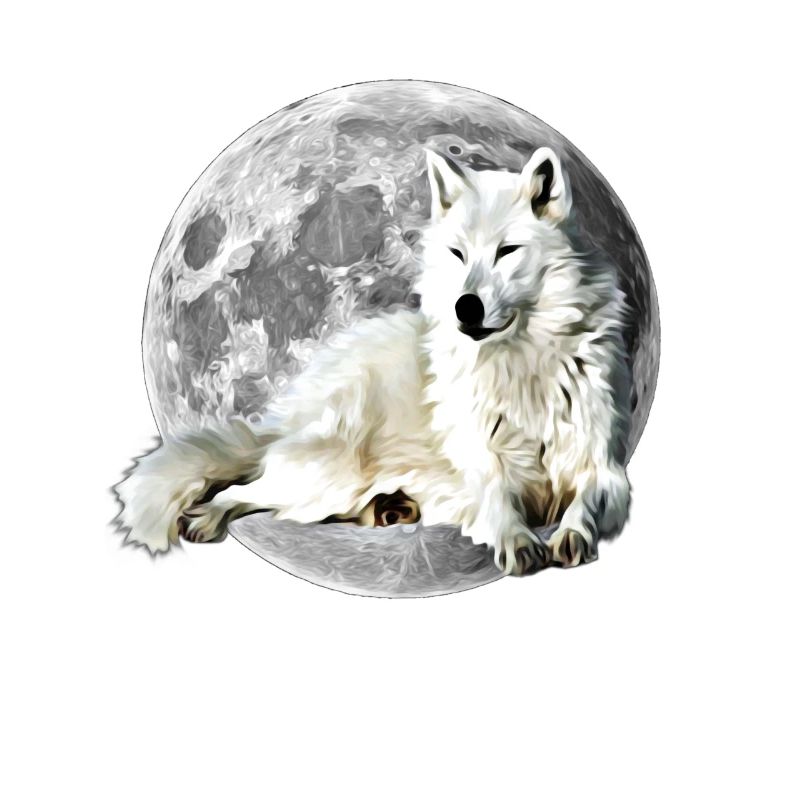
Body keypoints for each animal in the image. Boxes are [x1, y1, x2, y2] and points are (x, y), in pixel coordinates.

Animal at [114, 146, 633, 575]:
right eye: (458, 253)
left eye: (507, 251)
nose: (465, 307)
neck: (522, 364)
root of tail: (289, 418)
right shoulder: (480, 464)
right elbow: (497, 499)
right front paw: (518, 540)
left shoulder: (603, 467)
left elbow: (584, 501)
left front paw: (572, 533)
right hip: (326, 476)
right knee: (245, 492)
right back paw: (208, 515)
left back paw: (389, 509)